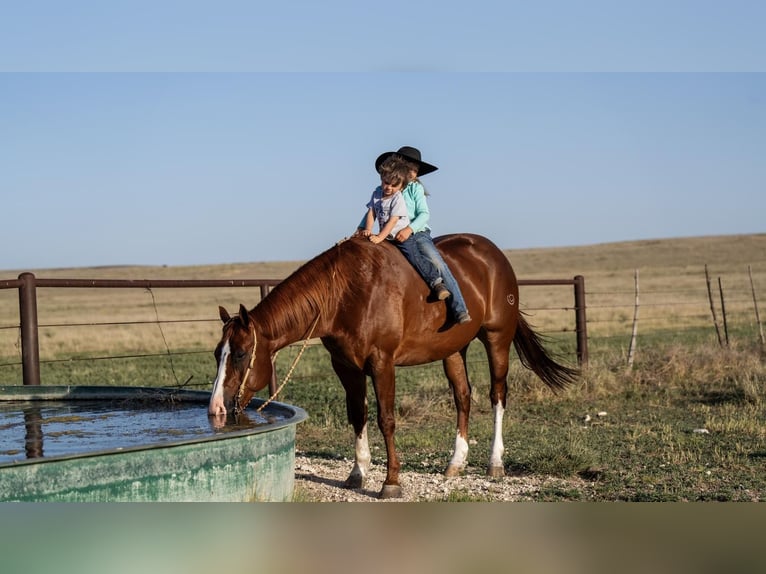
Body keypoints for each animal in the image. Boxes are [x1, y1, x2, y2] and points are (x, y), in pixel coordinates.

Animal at [207, 234, 580, 500]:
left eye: (240, 354)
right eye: (216, 354)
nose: (216, 409)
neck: (344, 294)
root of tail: (492, 254)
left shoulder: (382, 363)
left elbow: (386, 419)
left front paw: (391, 481)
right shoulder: (345, 366)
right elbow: (358, 415)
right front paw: (358, 473)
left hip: (496, 339)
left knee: (497, 395)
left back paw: (495, 463)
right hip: (453, 350)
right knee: (463, 397)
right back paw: (455, 463)